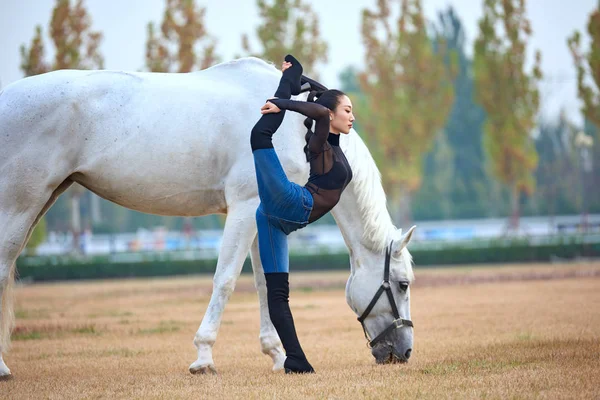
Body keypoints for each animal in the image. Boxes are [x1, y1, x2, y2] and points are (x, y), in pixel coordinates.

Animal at [0, 57, 412, 378]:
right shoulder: (245, 206)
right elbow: (225, 280)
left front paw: (277, 356)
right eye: (403, 284)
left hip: (43, 199)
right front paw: (203, 357)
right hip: (19, 203)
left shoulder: (263, 214)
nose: (404, 352)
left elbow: (265, 284)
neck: (300, 129)